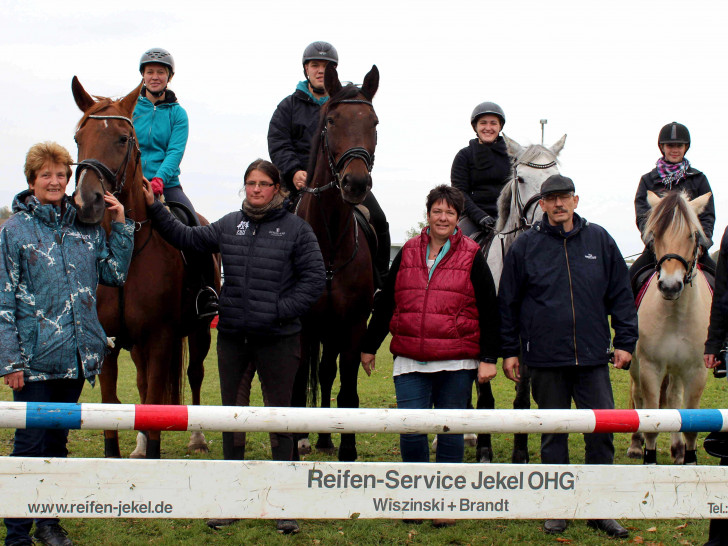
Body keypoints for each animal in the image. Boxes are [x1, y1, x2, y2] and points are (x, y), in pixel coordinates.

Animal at [70, 76, 219, 456]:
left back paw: (197, 438)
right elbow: (114, 406)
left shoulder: (161, 337)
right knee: (140, 383)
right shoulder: (109, 343)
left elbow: (154, 399)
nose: (87, 203)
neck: (129, 252)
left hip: (199, 331)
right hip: (136, 345)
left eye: (123, 139)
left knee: (194, 375)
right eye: (78, 139)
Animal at [624, 189, 712, 462]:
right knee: (637, 396)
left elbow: (690, 423)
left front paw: (688, 457)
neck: (676, 314)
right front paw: (648, 457)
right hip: (637, 365)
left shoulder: (696, 371)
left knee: (673, 399)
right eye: (655, 235)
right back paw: (635, 444)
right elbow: (651, 420)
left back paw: (677, 450)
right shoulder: (651, 367)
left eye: (693, 234)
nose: (670, 286)